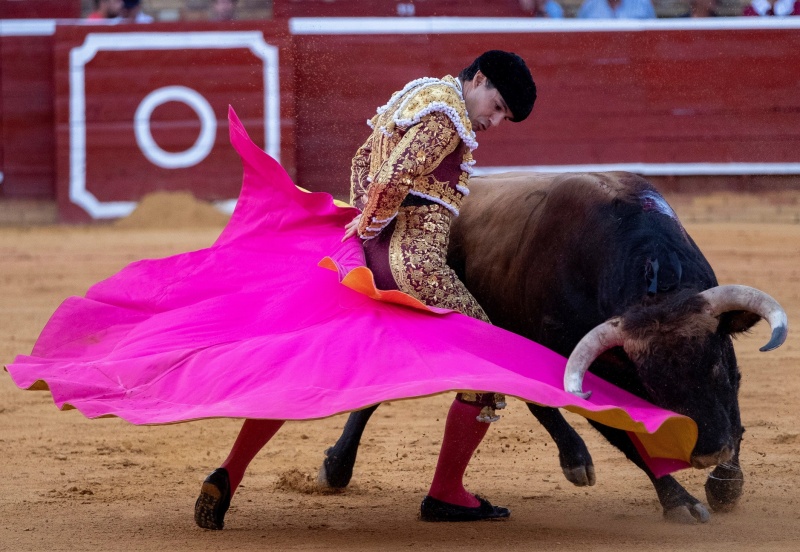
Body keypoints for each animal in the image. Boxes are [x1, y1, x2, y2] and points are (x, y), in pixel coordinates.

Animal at [318, 172, 788, 520]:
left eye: (715, 366)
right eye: (655, 386)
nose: (707, 452)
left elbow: (734, 415)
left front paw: (726, 486)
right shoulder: (586, 367)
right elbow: (625, 434)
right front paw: (680, 502)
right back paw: (336, 468)